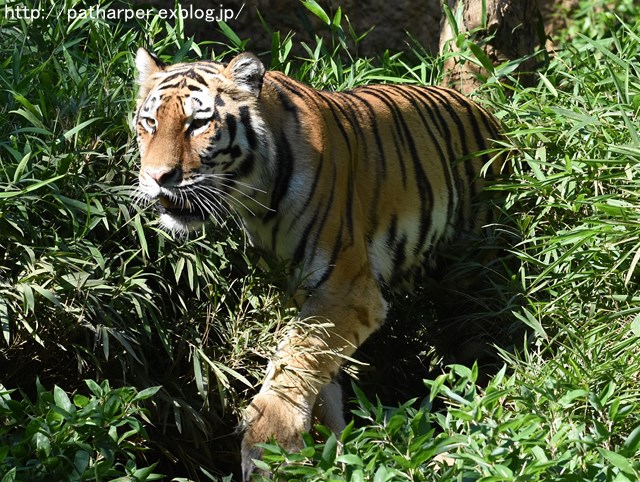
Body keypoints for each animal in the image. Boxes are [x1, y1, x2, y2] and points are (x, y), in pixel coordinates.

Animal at [134, 46, 504, 478]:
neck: (255, 198)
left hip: (478, 272)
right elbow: (318, 370)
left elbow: (296, 357)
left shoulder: (347, 289)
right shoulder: (301, 291)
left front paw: (271, 442)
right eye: (149, 122)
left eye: (197, 124)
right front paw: (331, 453)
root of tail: (489, 116)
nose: (157, 177)